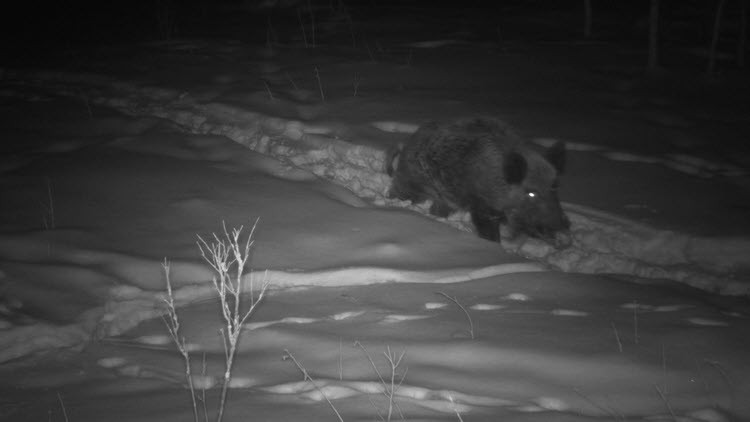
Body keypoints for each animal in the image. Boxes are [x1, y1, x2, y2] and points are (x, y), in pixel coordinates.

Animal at [386, 117, 570, 246]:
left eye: (554, 186)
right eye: (531, 193)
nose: (563, 225)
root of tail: (412, 139)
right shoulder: (482, 205)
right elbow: (489, 232)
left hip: (445, 198)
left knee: (437, 209)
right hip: (411, 180)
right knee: (399, 191)